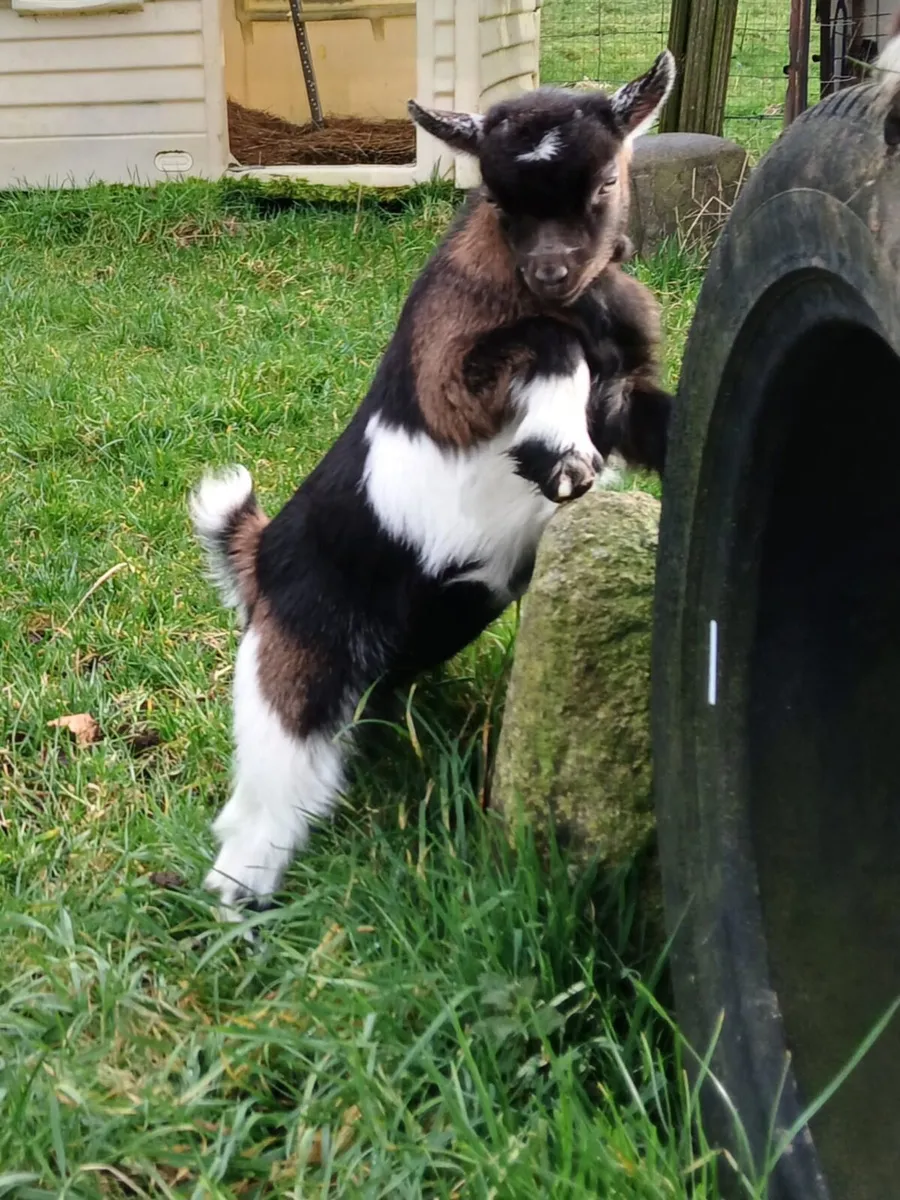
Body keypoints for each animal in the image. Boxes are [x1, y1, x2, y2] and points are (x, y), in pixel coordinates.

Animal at [190, 51, 676, 921]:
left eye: (602, 185)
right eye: (499, 198)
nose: (550, 270)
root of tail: (262, 558)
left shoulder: (624, 397)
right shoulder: (450, 378)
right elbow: (546, 339)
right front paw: (559, 457)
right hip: (296, 671)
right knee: (263, 799)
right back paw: (236, 898)